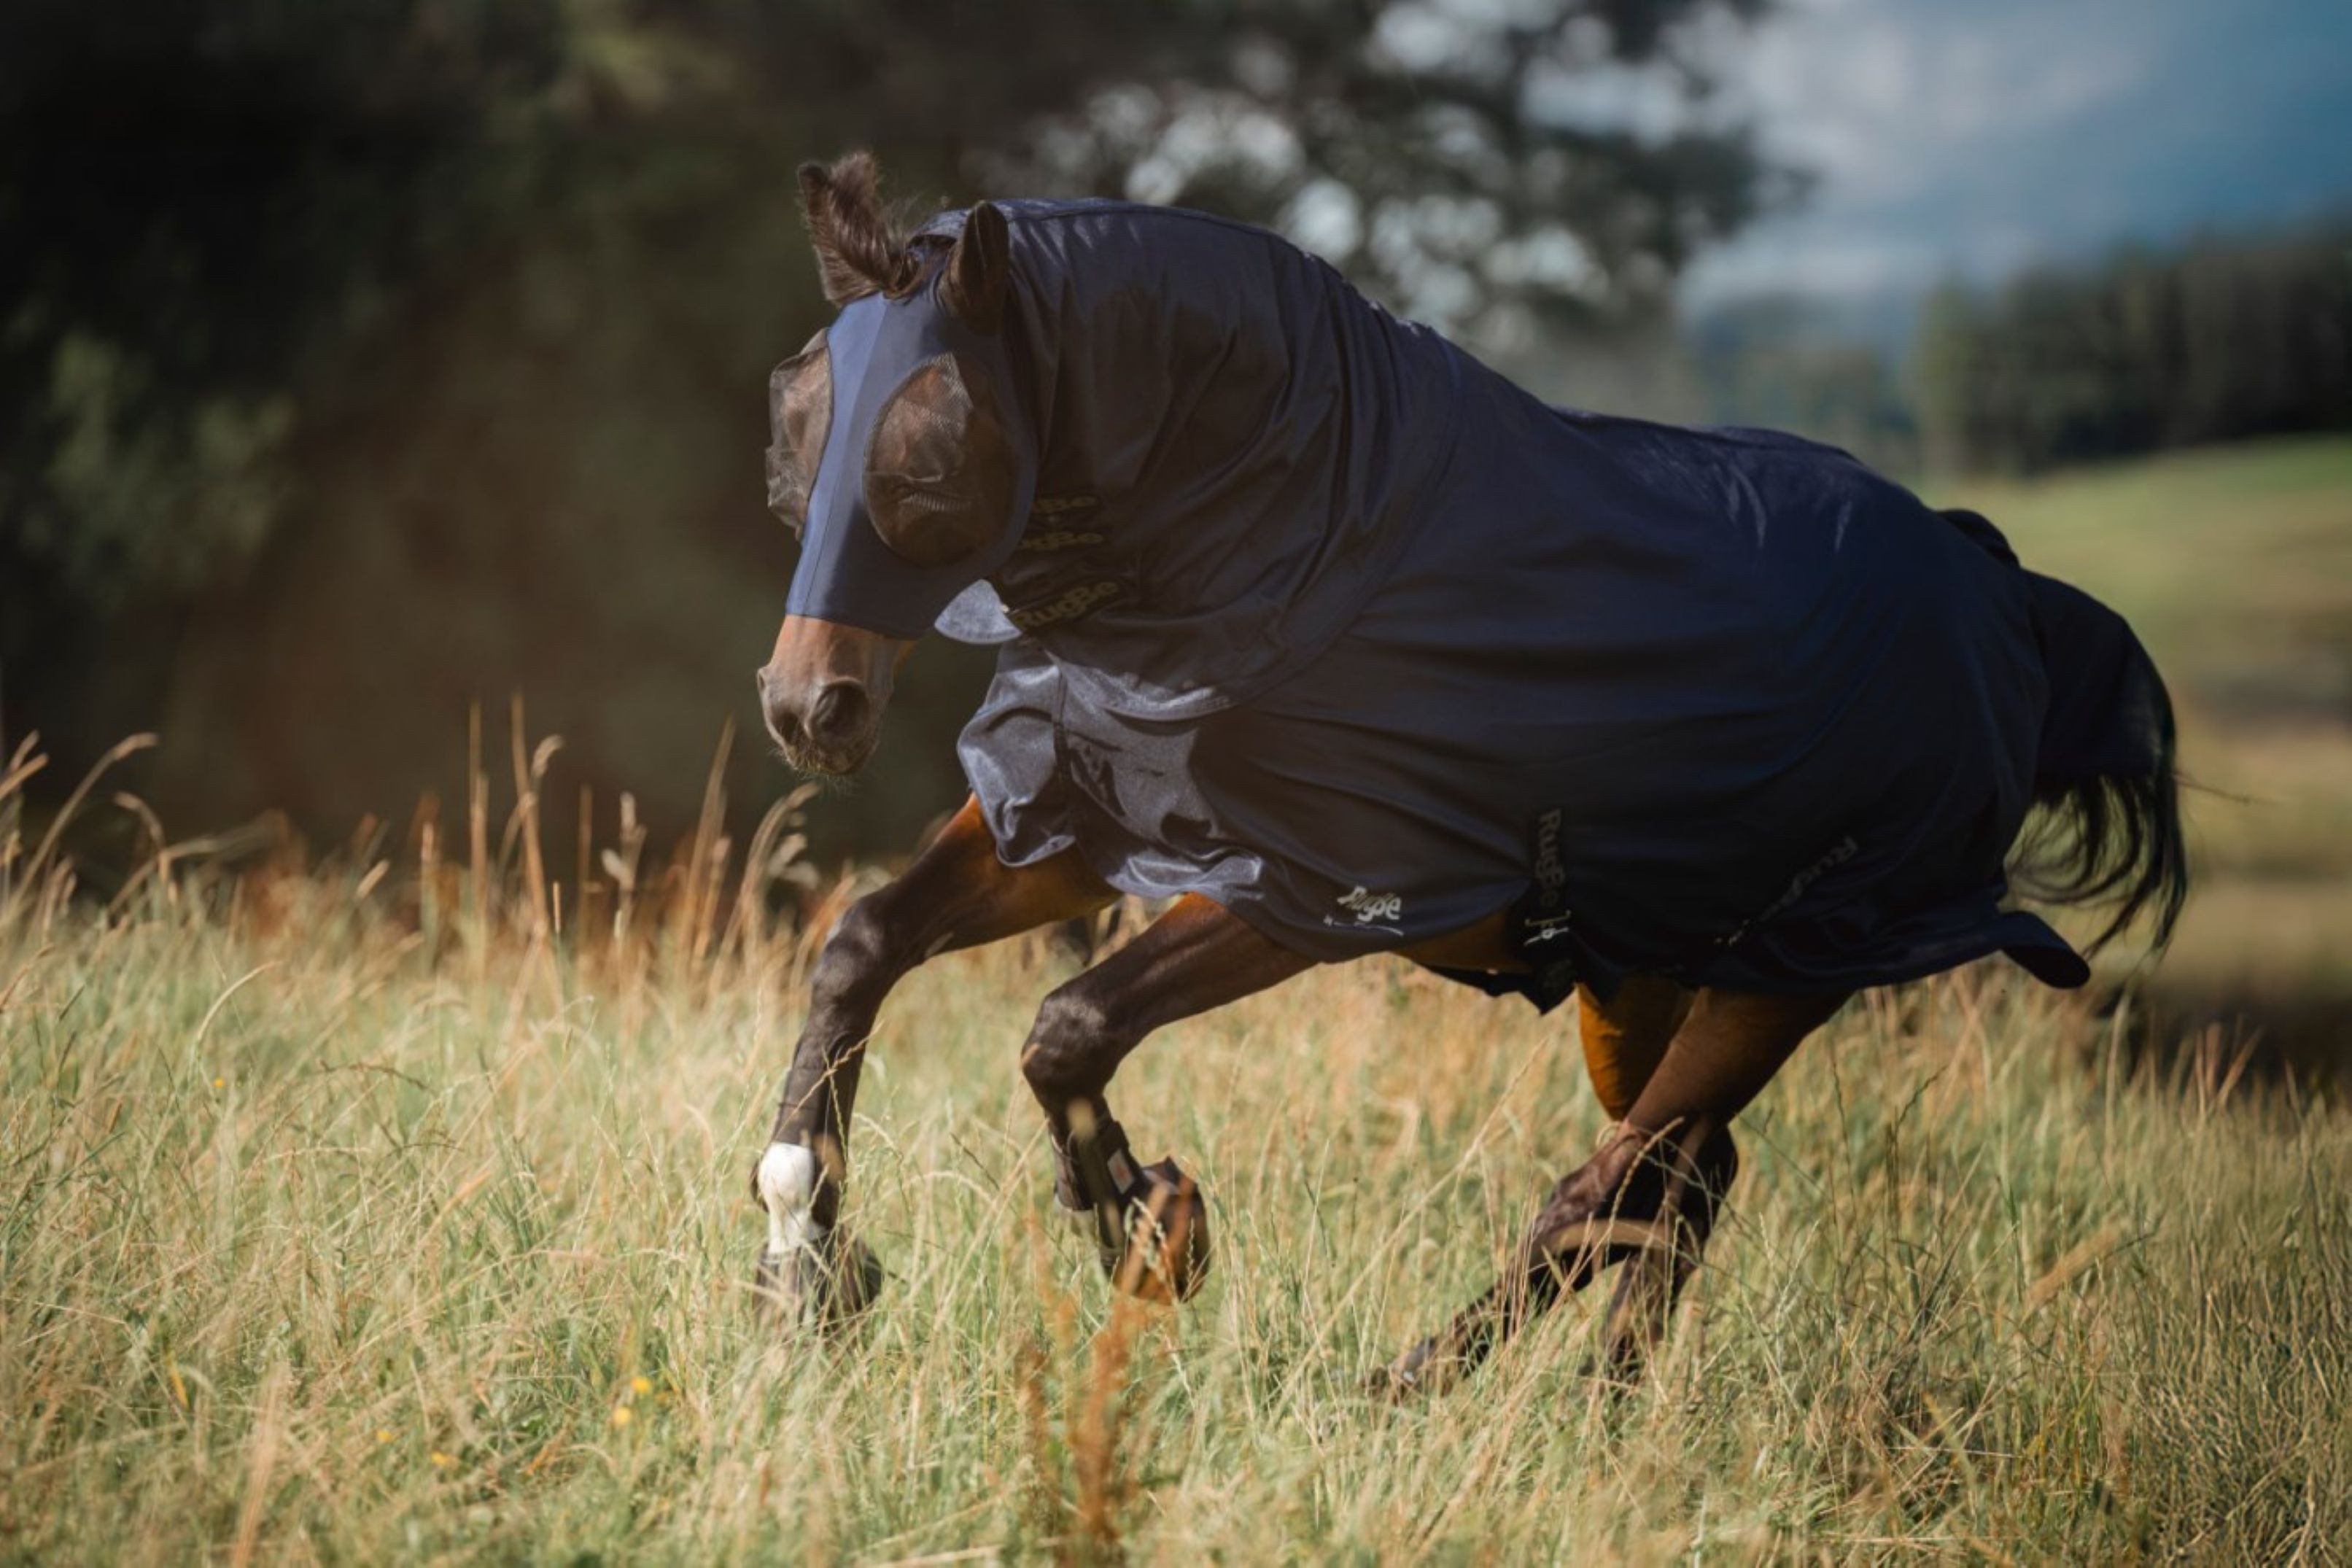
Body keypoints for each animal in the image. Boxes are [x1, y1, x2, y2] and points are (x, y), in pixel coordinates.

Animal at [746, 151, 2188, 1393]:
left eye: (933, 456)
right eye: (798, 426)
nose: (808, 706)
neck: (1301, 537)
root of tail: (2001, 598)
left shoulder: (1311, 895)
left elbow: (1069, 1027)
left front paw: (1152, 1231)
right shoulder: (1081, 813)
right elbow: (863, 945)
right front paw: (806, 1270)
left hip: (1795, 970)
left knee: (1603, 1193)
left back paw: (1408, 1390)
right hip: (1654, 977)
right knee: (1684, 1181)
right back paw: (1606, 1416)